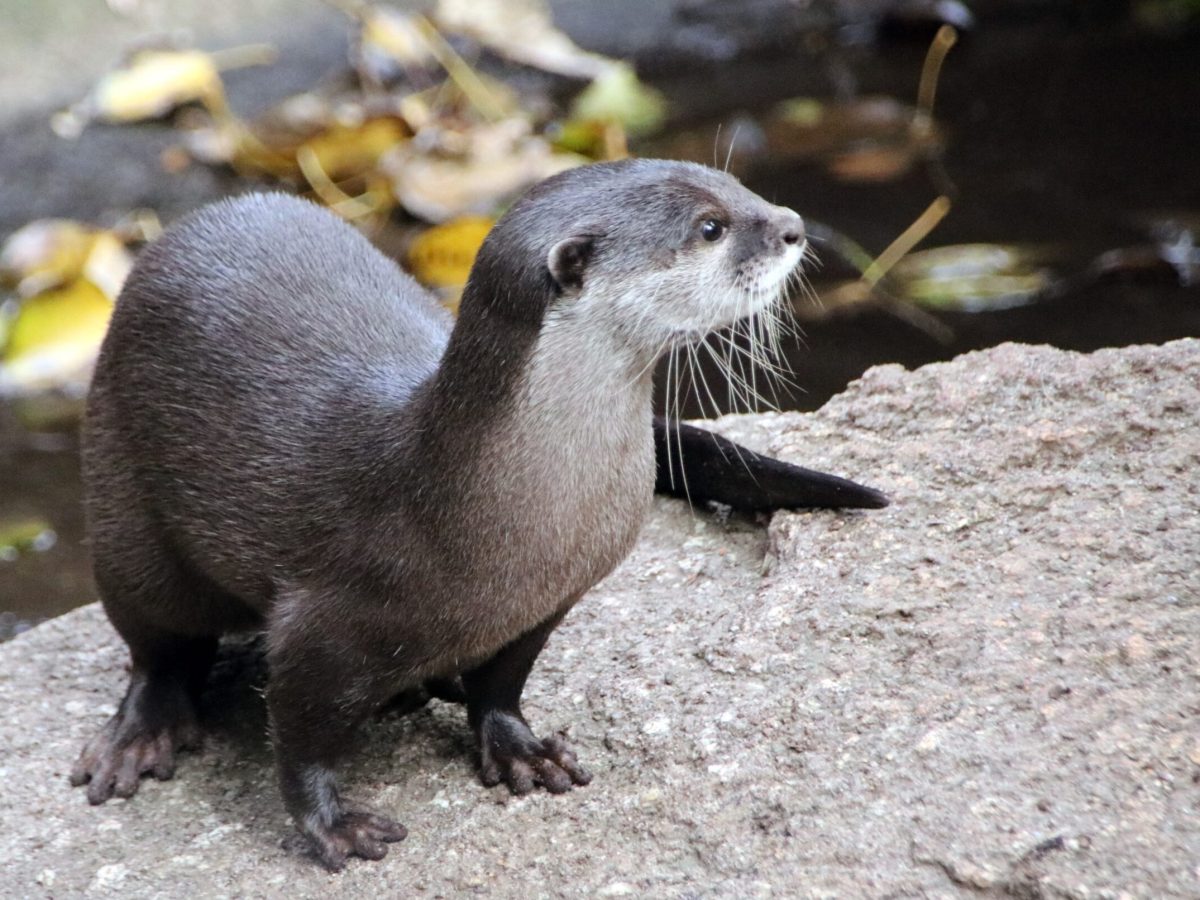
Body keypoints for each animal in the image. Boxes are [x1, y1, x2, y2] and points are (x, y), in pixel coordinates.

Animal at [70, 159, 886, 870]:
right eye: (711, 226)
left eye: (736, 185)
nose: (793, 226)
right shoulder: (321, 624)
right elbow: (299, 736)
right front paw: (334, 825)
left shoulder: (548, 598)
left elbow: (504, 681)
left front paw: (520, 747)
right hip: (123, 515)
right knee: (156, 642)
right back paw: (141, 734)